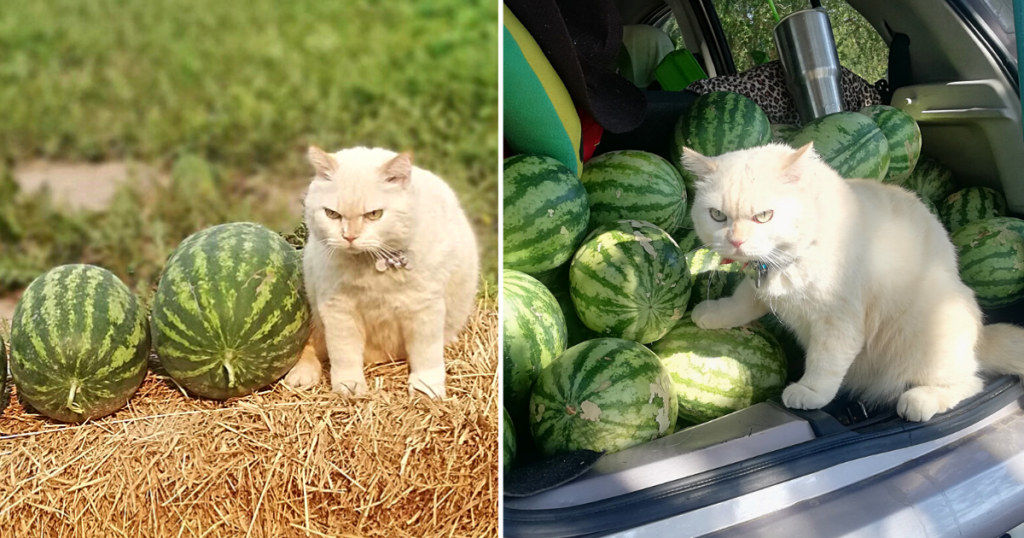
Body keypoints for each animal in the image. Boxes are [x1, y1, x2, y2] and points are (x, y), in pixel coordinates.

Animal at [284, 144, 479, 395]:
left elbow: (426, 354)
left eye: (374, 215)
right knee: (310, 345)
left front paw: (427, 387)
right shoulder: (338, 308)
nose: (349, 236)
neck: (370, 265)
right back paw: (302, 374)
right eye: (332, 214)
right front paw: (348, 386)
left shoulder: (425, 308)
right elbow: (344, 353)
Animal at [684, 141, 1024, 420]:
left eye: (764, 216)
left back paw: (920, 400)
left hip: (924, 334)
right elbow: (742, 300)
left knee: (970, 381)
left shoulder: (839, 321)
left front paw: (809, 392)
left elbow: (825, 362)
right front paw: (713, 314)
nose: (736, 242)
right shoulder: (760, 281)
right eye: (717, 215)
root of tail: (980, 337)